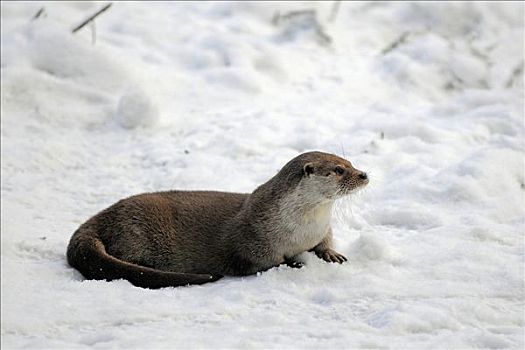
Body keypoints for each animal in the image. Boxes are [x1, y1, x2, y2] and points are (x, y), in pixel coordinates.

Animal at [66, 152, 368, 288]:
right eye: (339, 170)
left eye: (350, 162)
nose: (364, 174)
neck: (302, 229)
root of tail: (99, 218)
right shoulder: (251, 238)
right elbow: (262, 261)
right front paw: (293, 263)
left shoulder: (322, 229)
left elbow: (325, 242)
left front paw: (330, 254)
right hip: (135, 228)